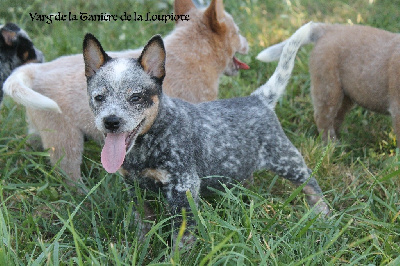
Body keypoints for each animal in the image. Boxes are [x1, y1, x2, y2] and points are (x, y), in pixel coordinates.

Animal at [3, 0, 248, 184]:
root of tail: (36, 70)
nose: (248, 42)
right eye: (237, 32)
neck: (192, 52)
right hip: (65, 141)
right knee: (68, 175)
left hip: (40, 127)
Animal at [83, 22, 330, 245]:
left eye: (135, 97)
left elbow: (181, 238)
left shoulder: (183, 188)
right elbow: (143, 222)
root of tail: (258, 98)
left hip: (284, 158)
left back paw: (322, 212)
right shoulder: (134, 188)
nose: (111, 121)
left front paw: (176, 257)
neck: (146, 146)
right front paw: (140, 247)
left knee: (310, 179)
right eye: (99, 97)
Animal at [258, 23, 398, 147]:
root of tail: (330, 28)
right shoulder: (397, 109)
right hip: (328, 89)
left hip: (345, 95)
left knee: (336, 117)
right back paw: (332, 145)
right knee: (323, 119)